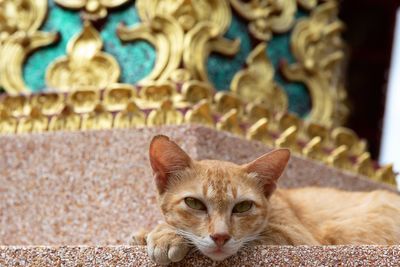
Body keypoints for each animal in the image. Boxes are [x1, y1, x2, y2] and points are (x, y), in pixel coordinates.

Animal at [135, 136, 400, 266]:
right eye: (195, 203)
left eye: (243, 207)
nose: (220, 237)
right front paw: (147, 234)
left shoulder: (297, 237)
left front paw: (165, 235)